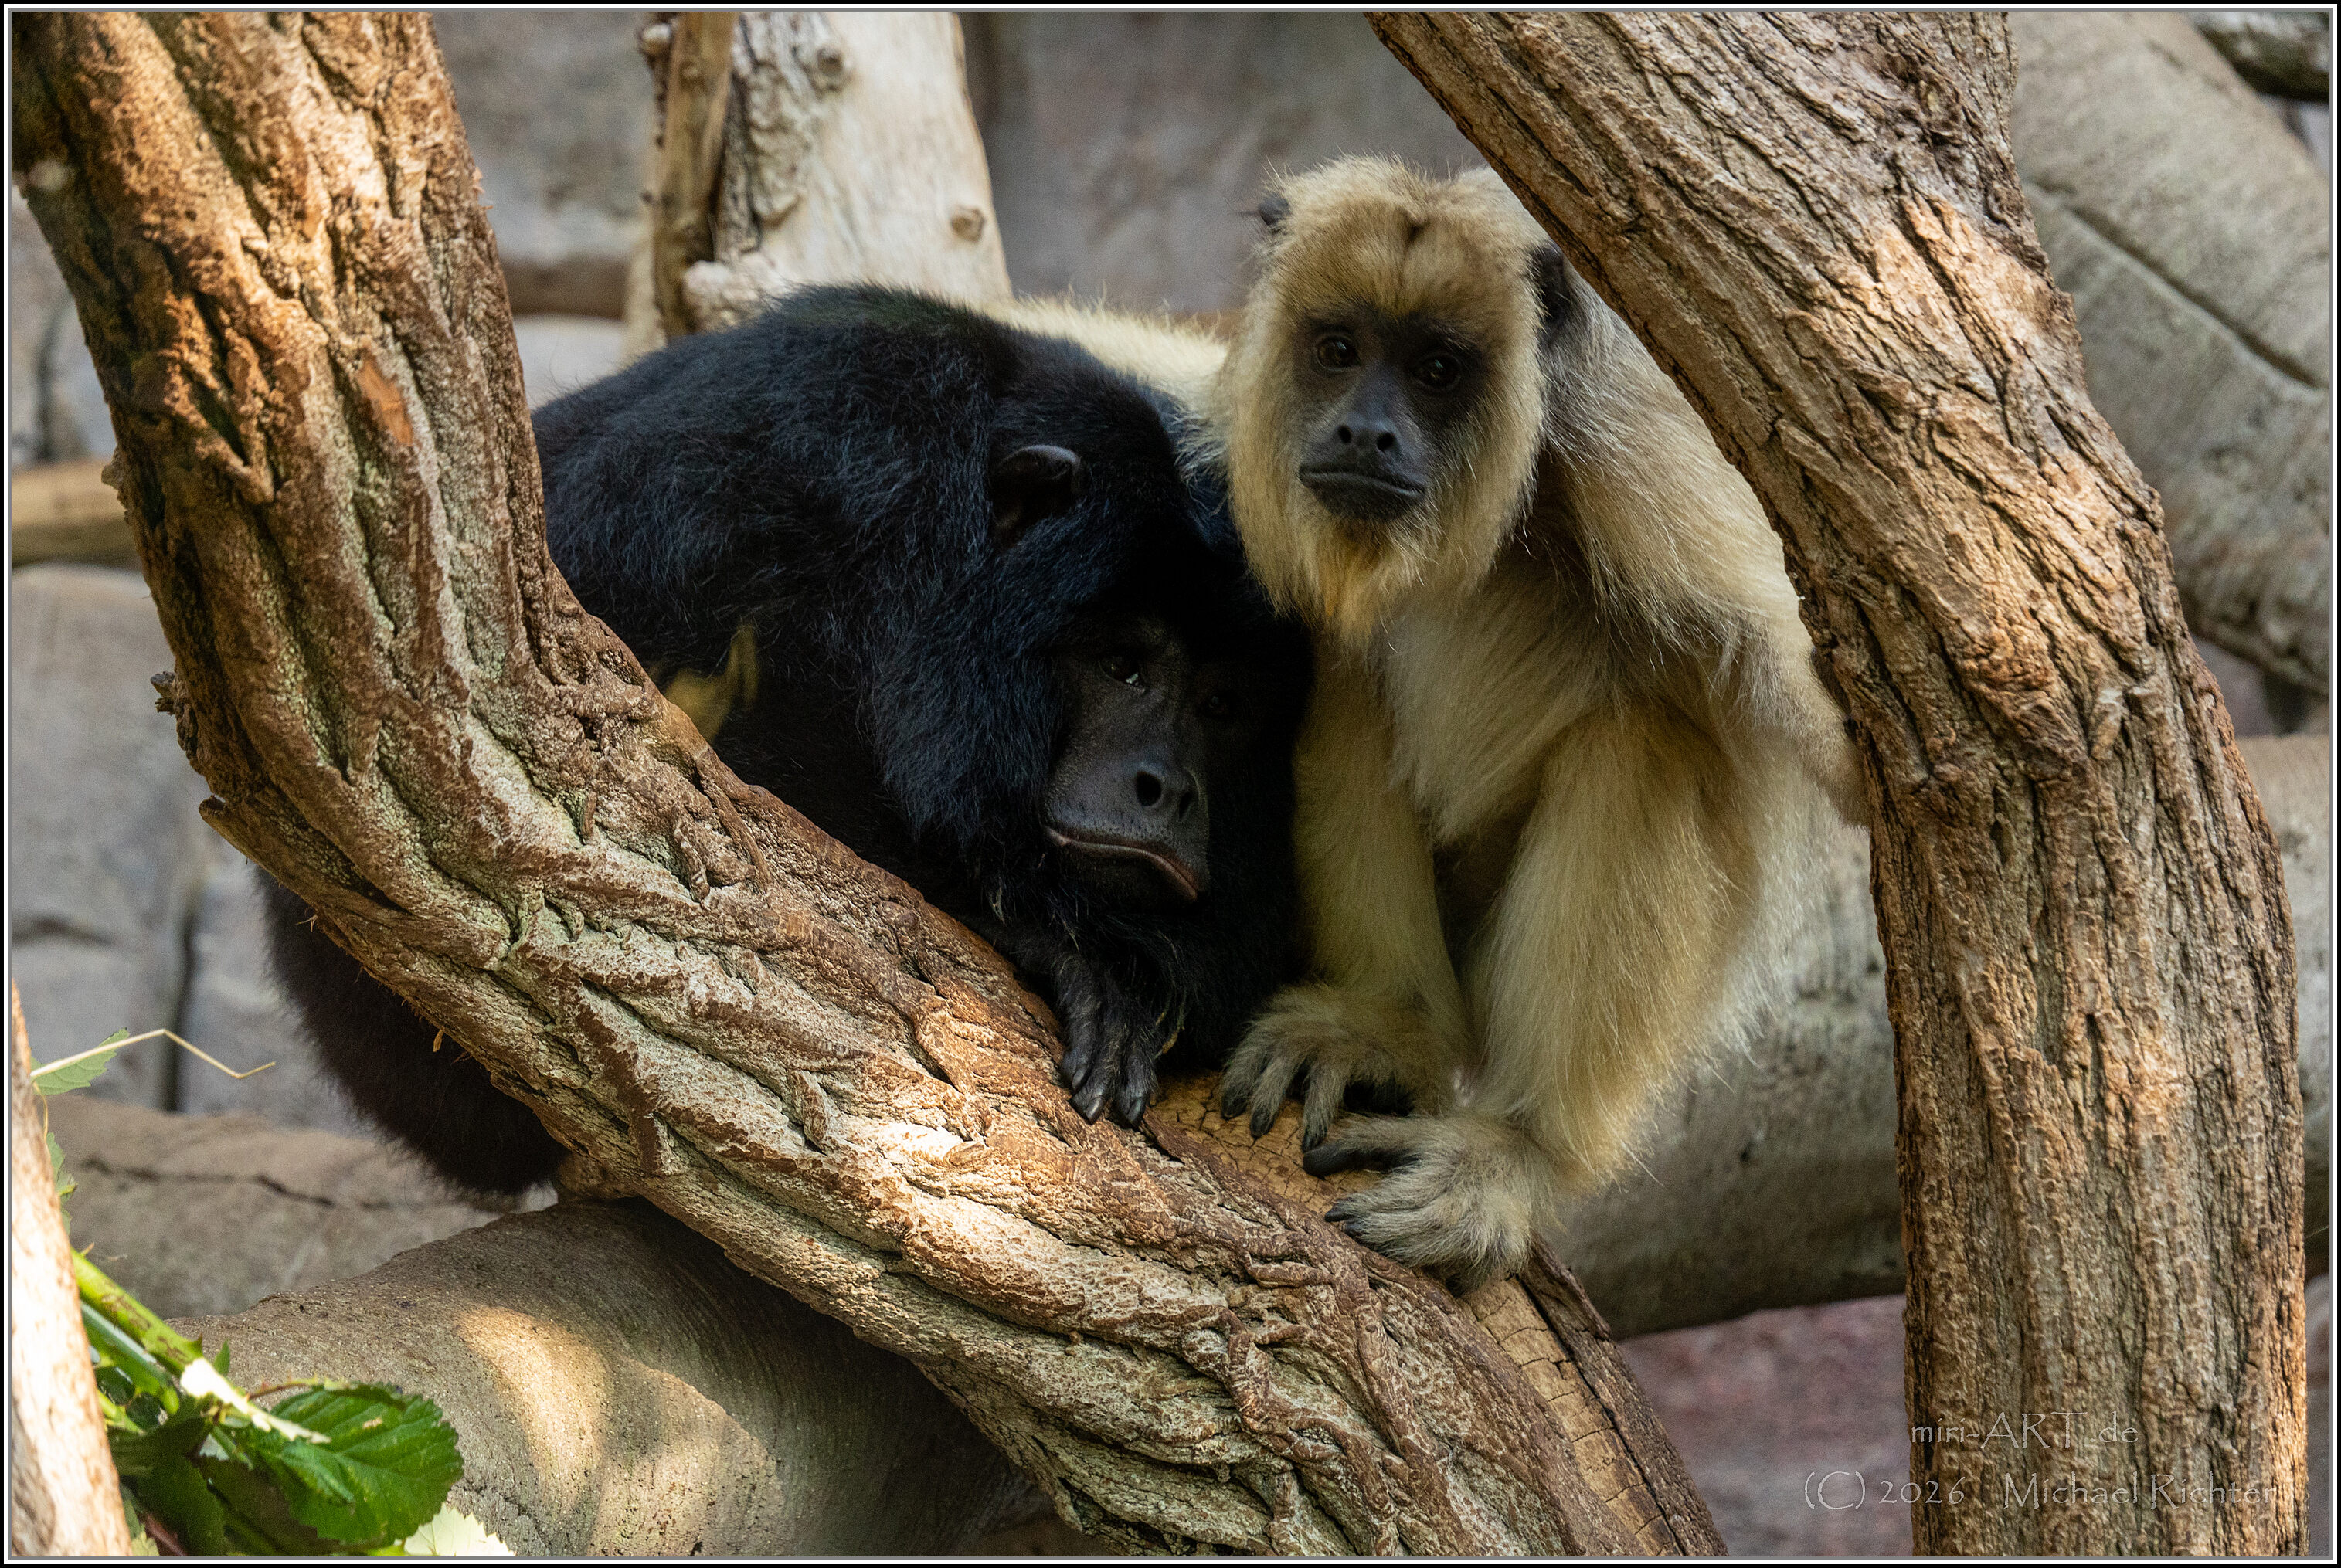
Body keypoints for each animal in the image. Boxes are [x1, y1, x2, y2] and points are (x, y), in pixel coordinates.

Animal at [1208, 158, 1862, 1292]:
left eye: (1437, 369)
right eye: (1339, 351)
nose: (1366, 432)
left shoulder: (1645, 463)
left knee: (1641, 744)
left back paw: (1521, 1150)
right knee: (1345, 671)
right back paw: (1393, 1026)